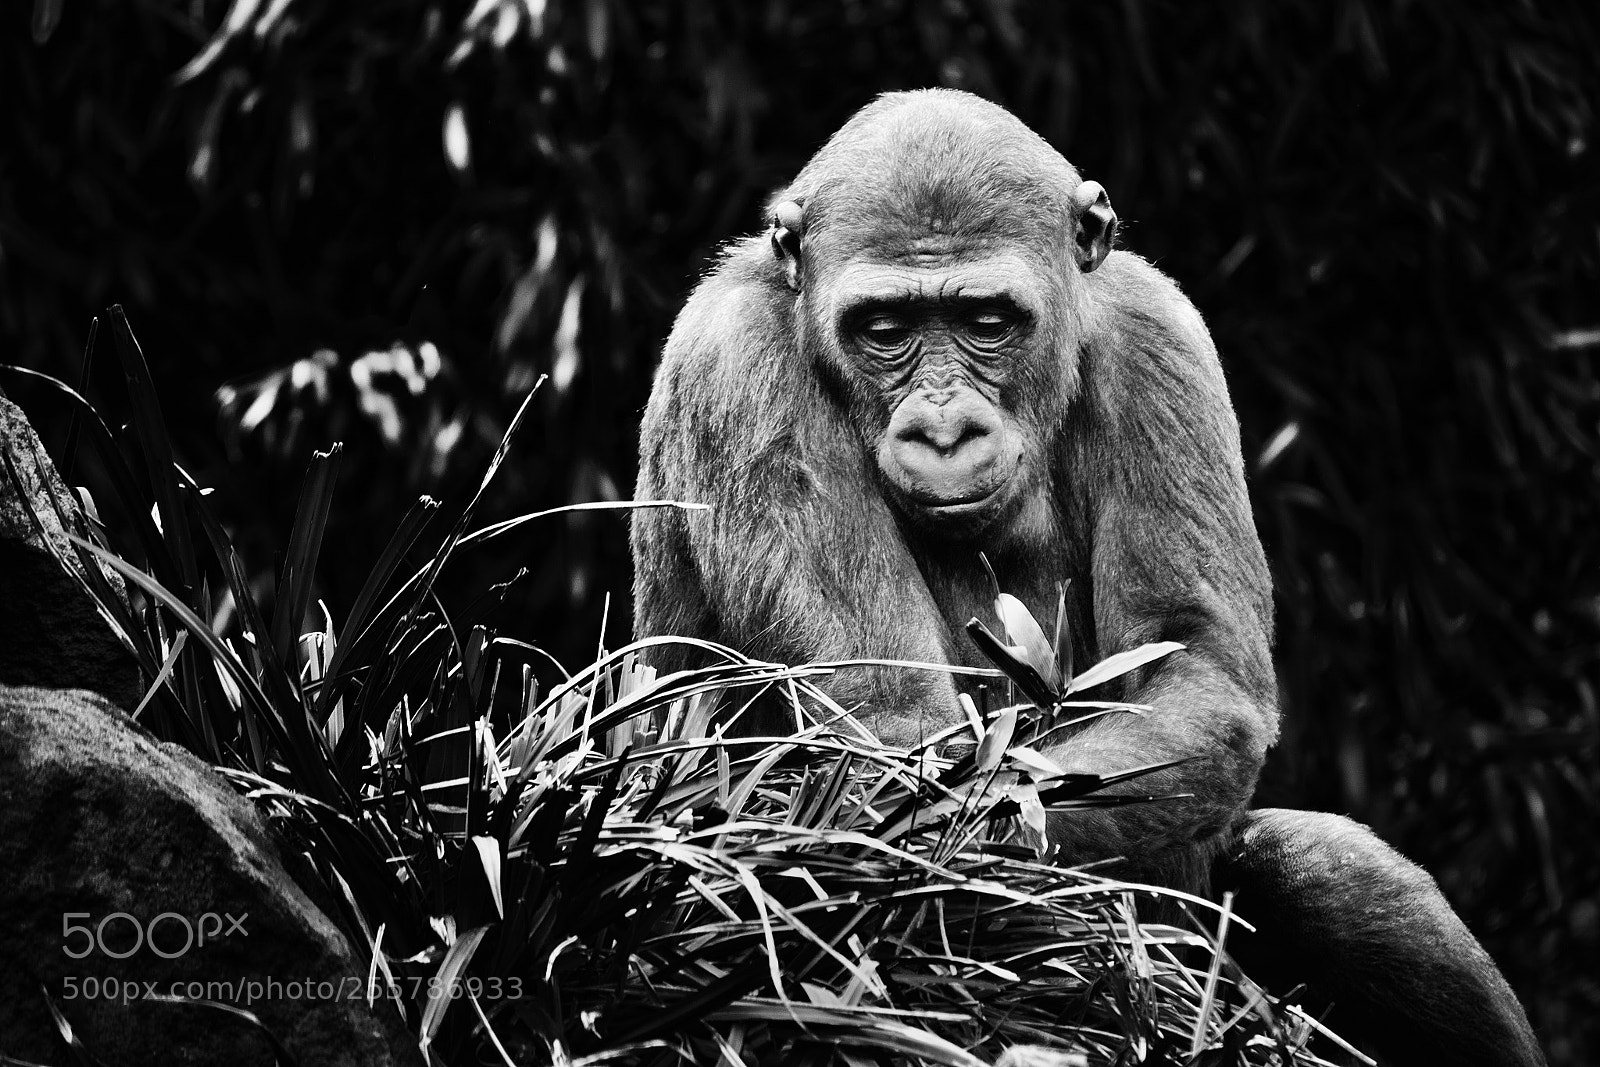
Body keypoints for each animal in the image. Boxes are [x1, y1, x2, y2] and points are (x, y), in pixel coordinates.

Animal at [632, 89, 1543, 1066]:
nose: (945, 429)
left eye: (988, 322)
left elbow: (1194, 667)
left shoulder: (1159, 335)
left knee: (1331, 870)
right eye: (885, 330)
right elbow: (887, 733)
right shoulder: (739, 368)